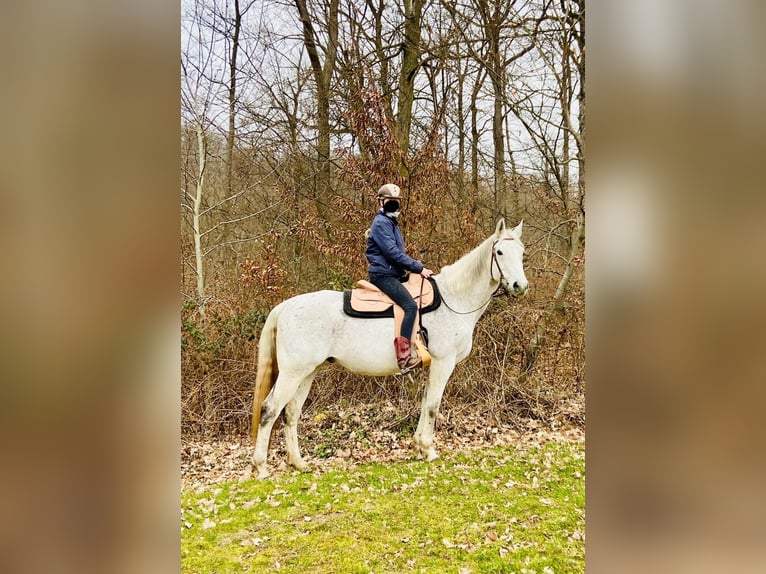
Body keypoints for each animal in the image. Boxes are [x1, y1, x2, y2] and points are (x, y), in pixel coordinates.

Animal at [252, 218, 528, 480]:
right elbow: (433, 405)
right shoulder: (443, 362)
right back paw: (261, 467)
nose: (520, 286)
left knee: (291, 412)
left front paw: (418, 447)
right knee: (269, 409)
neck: (454, 299)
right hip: (293, 373)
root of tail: (284, 307)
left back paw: (298, 463)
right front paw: (429, 450)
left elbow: (425, 402)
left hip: (307, 373)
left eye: (522, 252)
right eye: (500, 252)